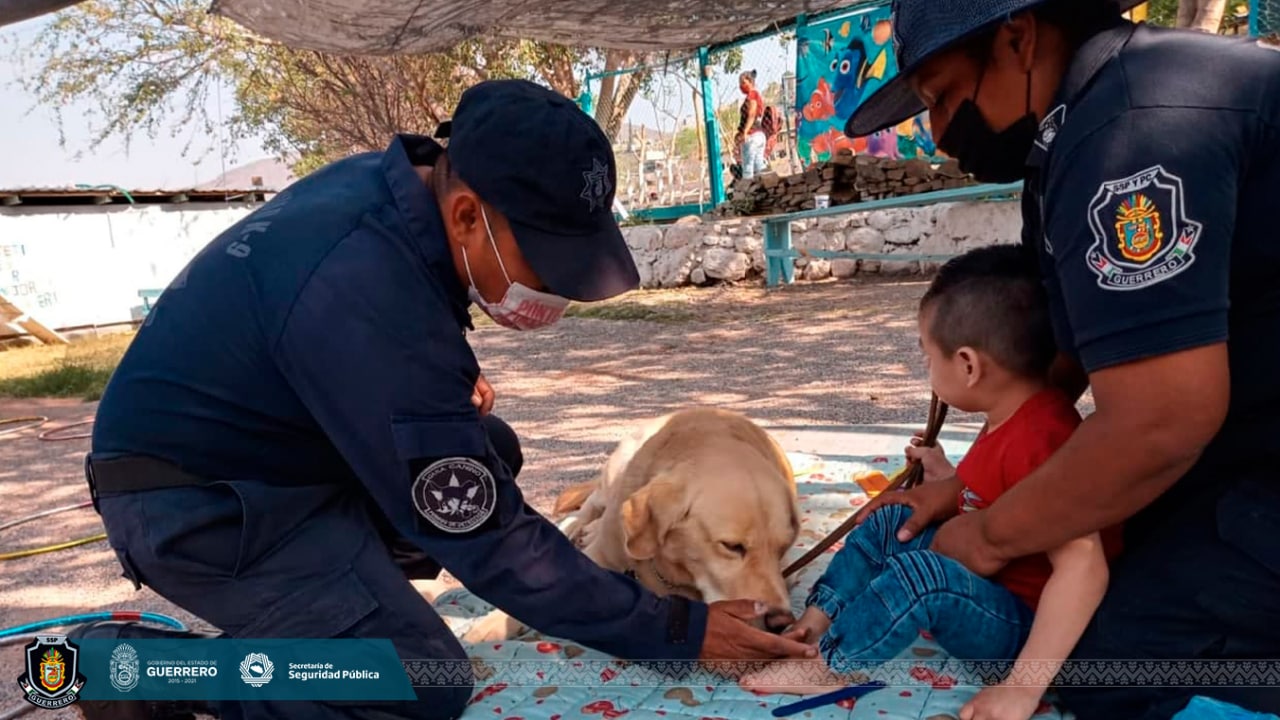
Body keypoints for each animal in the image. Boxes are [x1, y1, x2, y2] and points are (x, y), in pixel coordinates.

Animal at [460, 407, 798, 640]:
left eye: (783, 549)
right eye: (732, 546)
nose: (781, 623)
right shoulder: (600, 555)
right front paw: (492, 625)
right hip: (615, 471)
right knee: (589, 507)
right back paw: (580, 527)